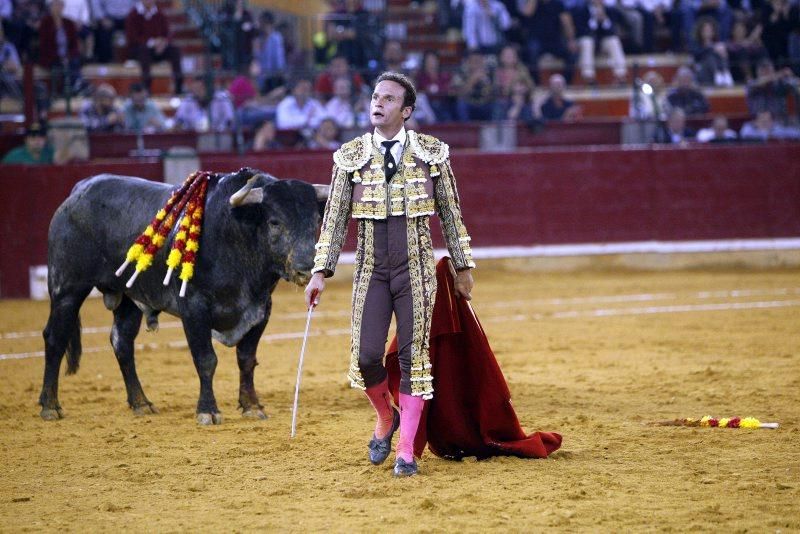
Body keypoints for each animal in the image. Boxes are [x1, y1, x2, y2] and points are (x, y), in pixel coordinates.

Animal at [39, 169, 328, 428]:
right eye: (274, 221)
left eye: (316, 221)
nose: (305, 268)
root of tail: (79, 190)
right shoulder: (194, 309)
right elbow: (206, 359)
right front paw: (208, 411)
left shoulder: (260, 311)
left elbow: (246, 359)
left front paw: (252, 406)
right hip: (67, 288)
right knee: (55, 337)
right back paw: (50, 406)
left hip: (128, 299)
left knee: (122, 341)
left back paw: (141, 403)